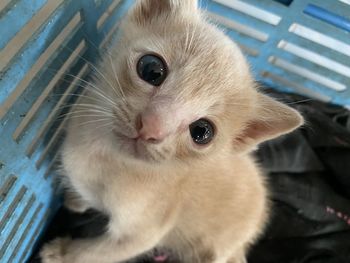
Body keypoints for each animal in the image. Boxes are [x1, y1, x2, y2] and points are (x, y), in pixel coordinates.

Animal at [39, 0, 302, 263]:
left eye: (201, 132)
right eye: (151, 69)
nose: (151, 126)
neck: (103, 154)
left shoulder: (144, 232)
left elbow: (97, 252)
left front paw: (62, 253)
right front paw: (75, 199)